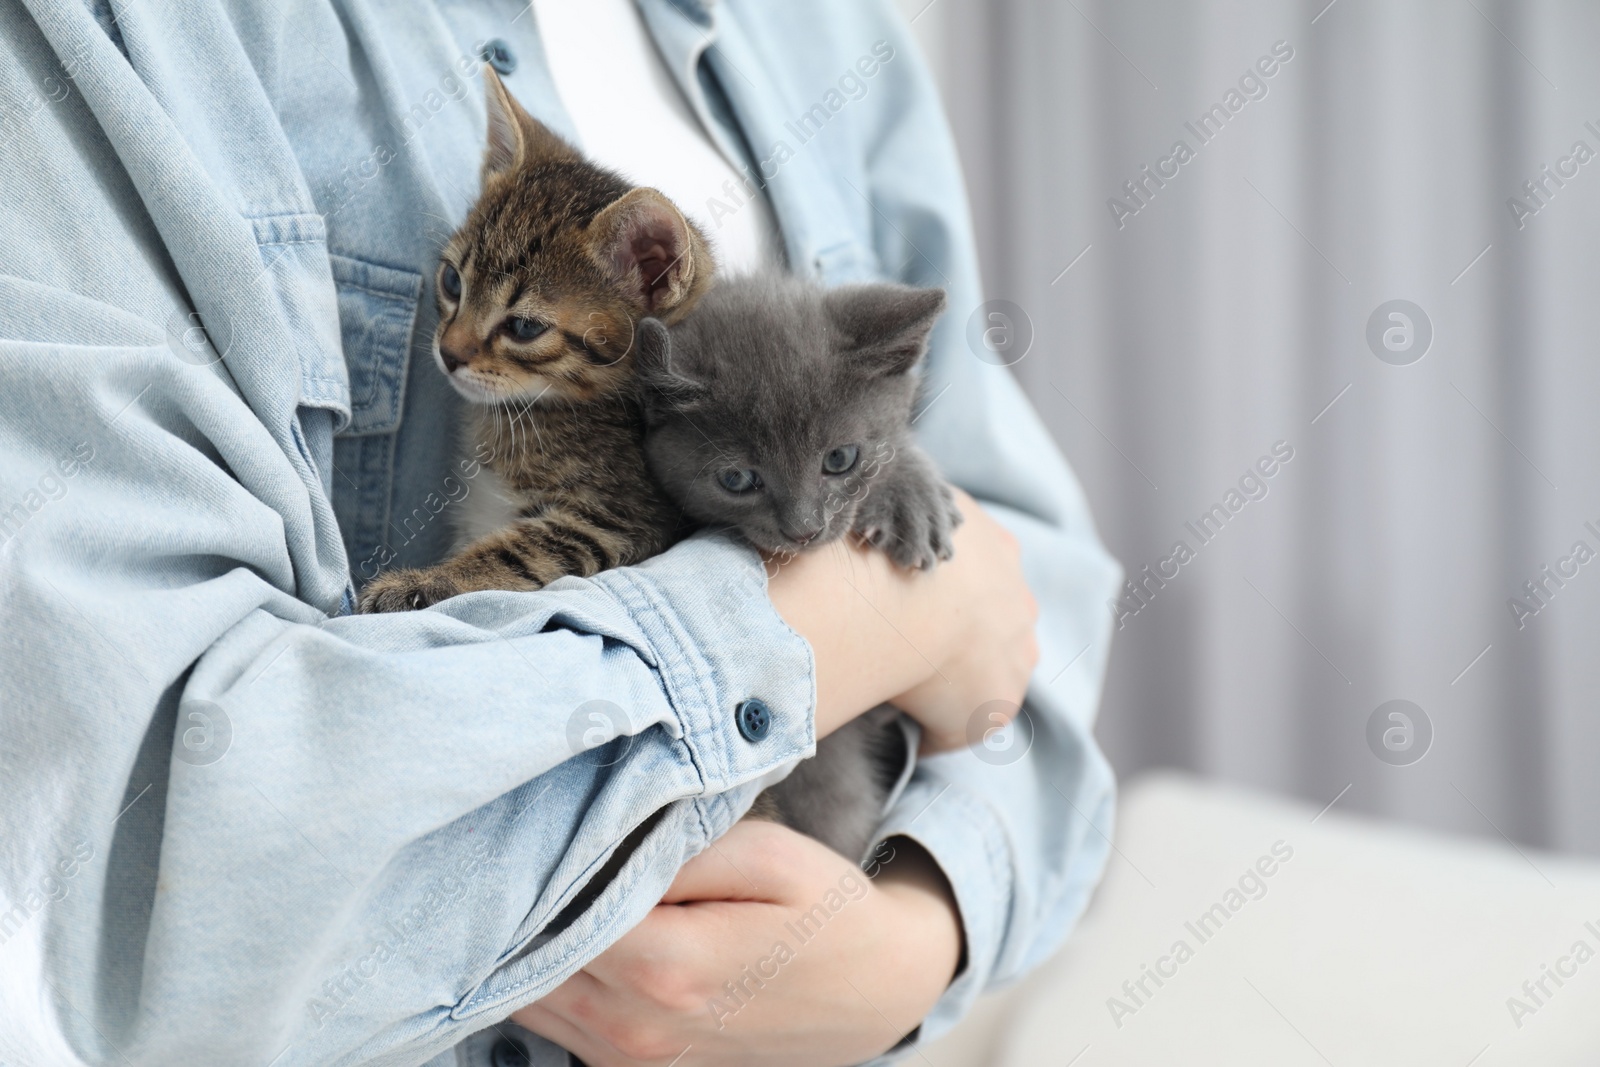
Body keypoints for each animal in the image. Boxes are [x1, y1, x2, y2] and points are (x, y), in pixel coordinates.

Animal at [366, 66, 716, 614]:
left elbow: (518, 555)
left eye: (525, 328)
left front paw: (419, 584)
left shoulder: (625, 521)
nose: (448, 353)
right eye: (452, 283)